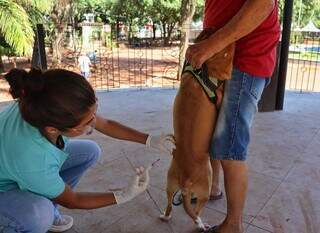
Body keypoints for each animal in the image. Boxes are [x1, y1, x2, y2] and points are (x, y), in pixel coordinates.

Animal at [160, 28, 235, 230]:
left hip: (169, 184)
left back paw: (165, 217)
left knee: (169, 204)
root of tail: (186, 180)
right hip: (204, 190)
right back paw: (201, 224)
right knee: (196, 212)